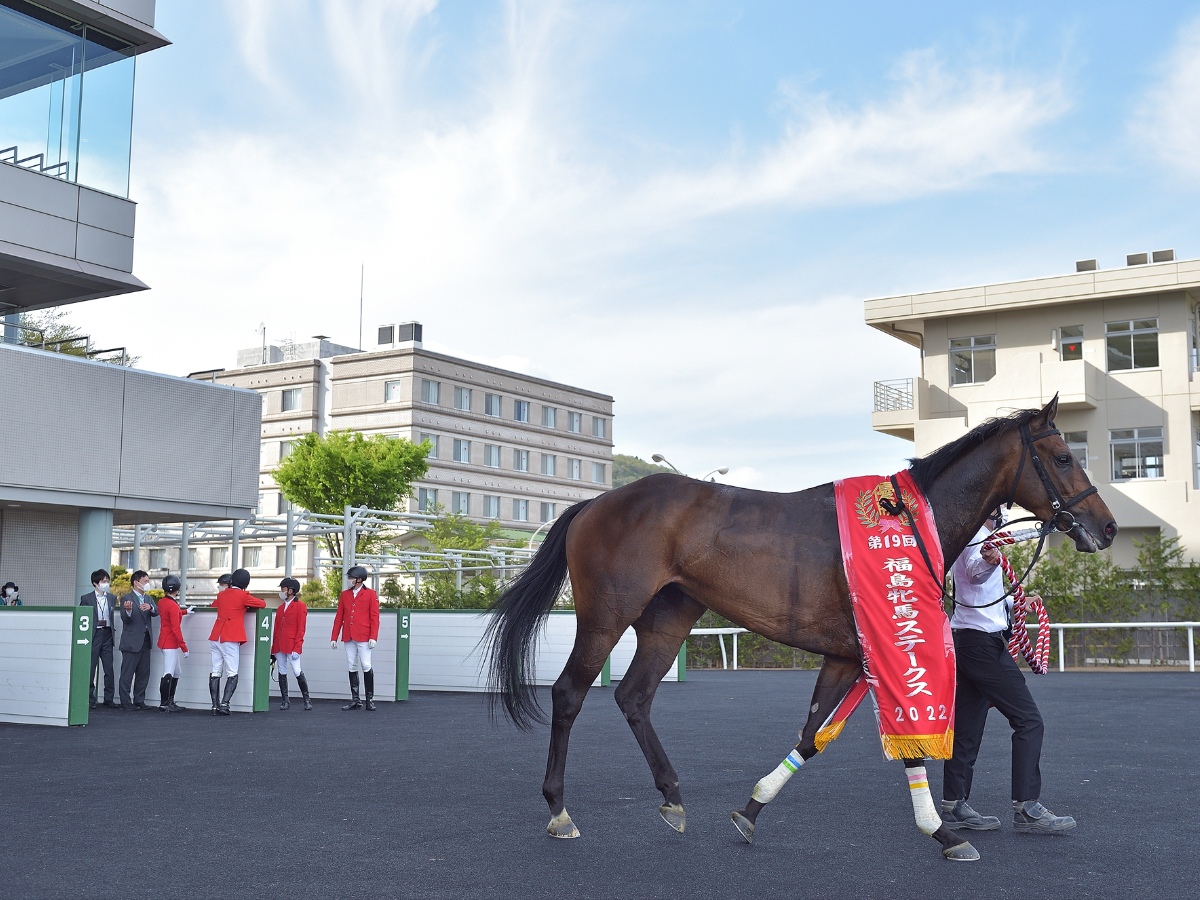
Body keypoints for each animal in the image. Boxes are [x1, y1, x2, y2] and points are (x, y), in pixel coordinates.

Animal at [484, 398, 1113, 864]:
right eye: (1063, 456)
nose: (1105, 527)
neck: (906, 522)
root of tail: (593, 504)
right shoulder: (884, 648)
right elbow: (907, 746)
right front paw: (943, 832)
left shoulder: (846, 655)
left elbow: (813, 735)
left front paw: (751, 809)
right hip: (606, 615)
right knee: (569, 694)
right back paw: (559, 811)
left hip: (670, 618)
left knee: (634, 697)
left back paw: (672, 797)